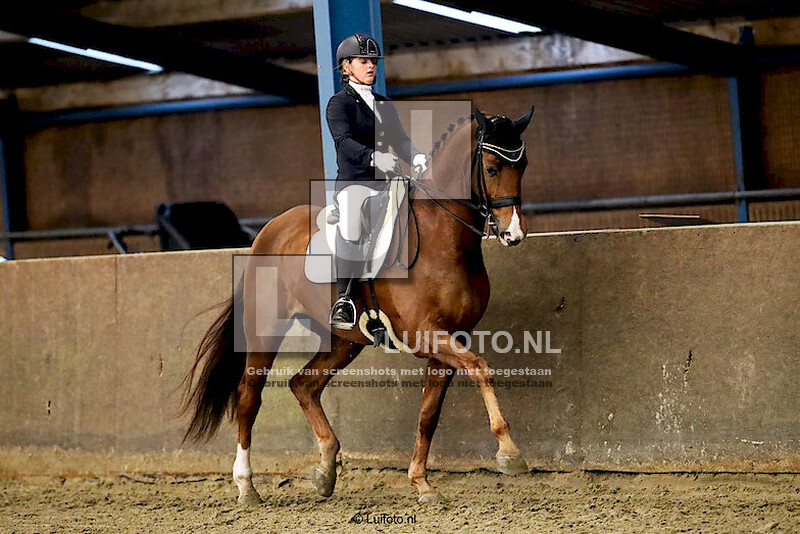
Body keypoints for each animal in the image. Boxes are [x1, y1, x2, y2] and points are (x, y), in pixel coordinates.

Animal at [180, 106, 534, 505]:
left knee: (304, 385)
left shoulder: (451, 339)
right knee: (248, 398)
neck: (441, 239)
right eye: (491, 168)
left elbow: (429, 413)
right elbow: (481, 368)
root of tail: (268, 232)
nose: (513, 234)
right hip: (264, 333)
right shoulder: (426, 334)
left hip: (343, 341)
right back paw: (247, 486)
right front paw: (509, 453)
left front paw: (422, 483)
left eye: (522, 166)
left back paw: (325, 471)